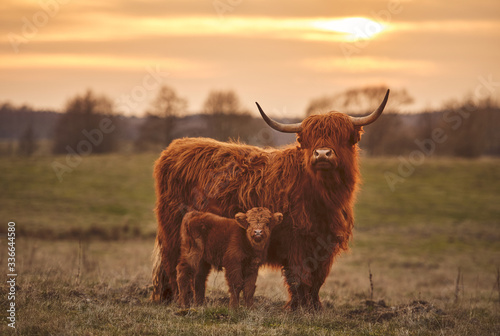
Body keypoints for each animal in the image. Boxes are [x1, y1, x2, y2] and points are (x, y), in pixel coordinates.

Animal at [152, 90, 390, 310]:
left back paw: (194, 301)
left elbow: (317, 279)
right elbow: (300, 277)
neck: (323, 196)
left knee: (198, 271)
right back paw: (177, 300)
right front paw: (298, 308)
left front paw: (315, 307)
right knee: (174, 265)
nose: (322, 154)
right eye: (308, 138)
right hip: (174, 232)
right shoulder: (297, 240)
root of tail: (176, 147)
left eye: (341, 136)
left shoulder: (325, 244)